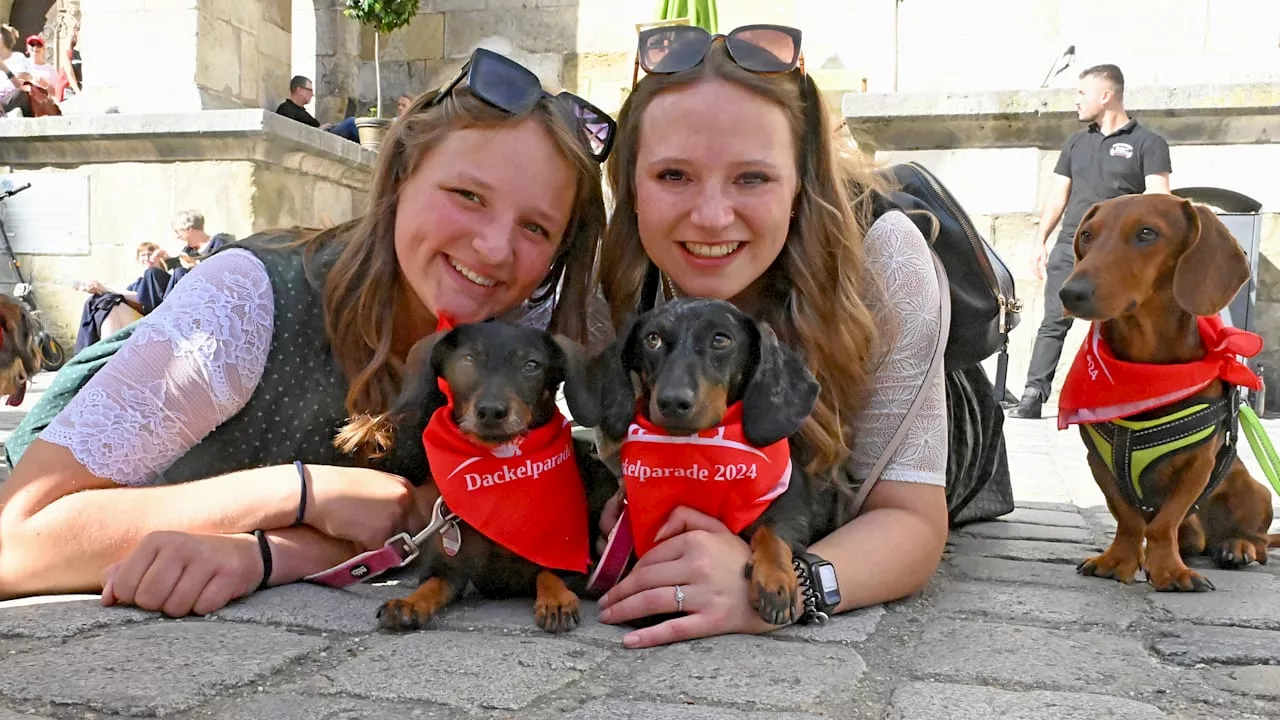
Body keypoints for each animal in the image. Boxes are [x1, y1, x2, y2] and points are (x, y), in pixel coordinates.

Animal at [345, 319, 614, 627]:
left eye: (531, 365)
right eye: (468, 359)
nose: (491, 411)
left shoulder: (576, 562)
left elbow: (549, 572)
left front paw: (556, 600)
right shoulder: (446, 569)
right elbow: (430, 585)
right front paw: (409, 603)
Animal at [583, 297, 814, 622]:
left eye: (721, 339)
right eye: (652, 339)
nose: (672, 402)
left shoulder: (790, 505)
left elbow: (773, 531)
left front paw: (775, 578)